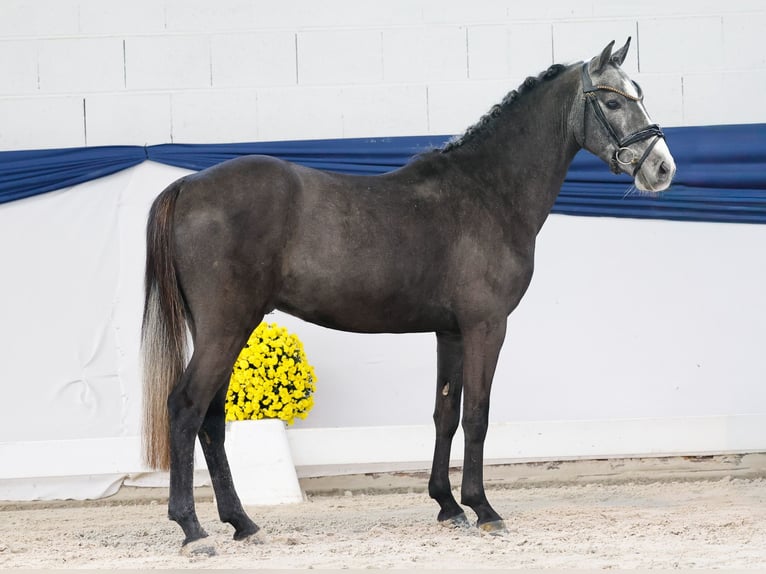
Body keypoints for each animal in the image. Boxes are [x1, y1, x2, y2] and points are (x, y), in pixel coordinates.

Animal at [141, 38, 675, 551]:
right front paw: (484, 510)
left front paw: (448, 505)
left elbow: (445, 414)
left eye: (639, 95)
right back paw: (193, 529)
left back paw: (243, 523)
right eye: (612, 100)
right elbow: (477, 415)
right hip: (226, 327)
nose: (662, 168)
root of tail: (188, 185)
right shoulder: (487, 326)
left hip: (225, 329)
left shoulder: (451, 332)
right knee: (186, 408)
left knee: (211, 418)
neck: (487, 192)